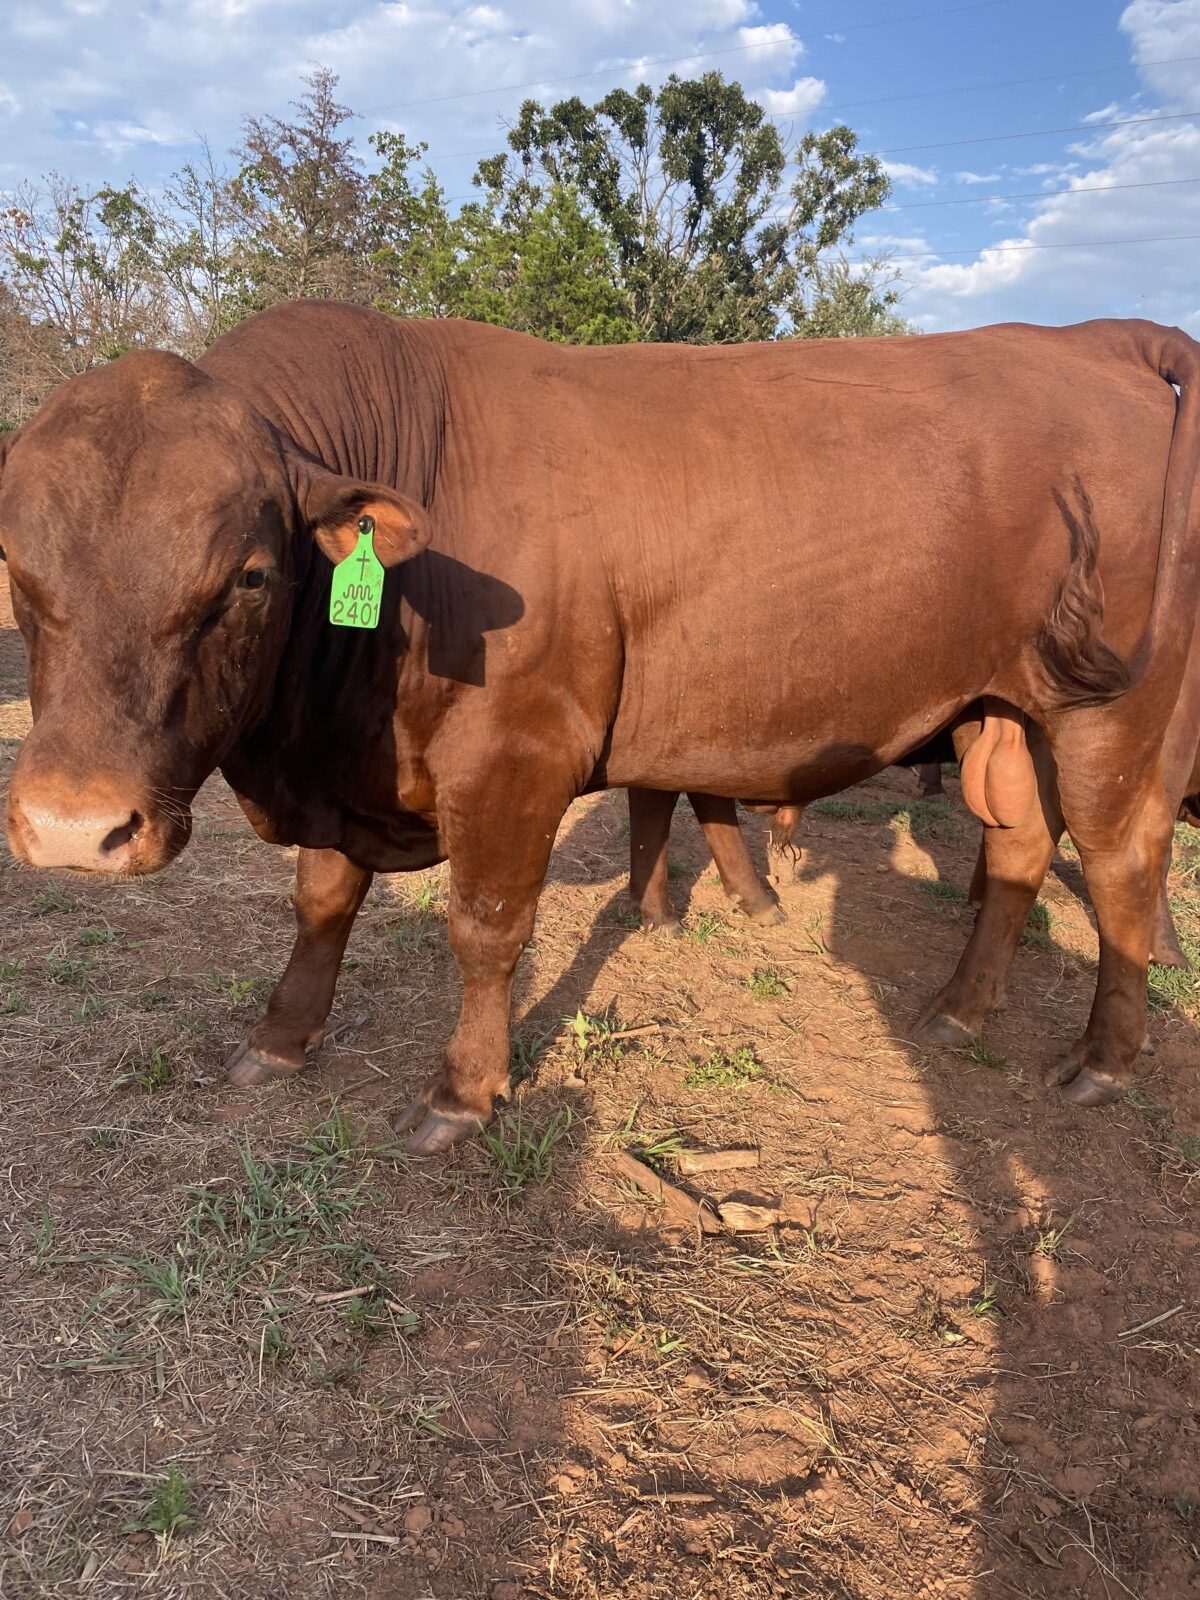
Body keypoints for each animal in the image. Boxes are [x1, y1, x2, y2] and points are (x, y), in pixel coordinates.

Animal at [2, 303, 1197, 1157]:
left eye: (248, 575)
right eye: (16, 562)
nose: (72, 829)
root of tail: (1092, 339)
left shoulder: (515, 758)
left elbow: (486, 928)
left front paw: (461, 1092)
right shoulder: (347, 776)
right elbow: (322, 902)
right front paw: (280, 1040)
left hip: (1114, 716)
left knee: (1123, 864)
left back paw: (1105, 1060)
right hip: (1005, 713)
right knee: (1019, 848)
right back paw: (957, 1012)